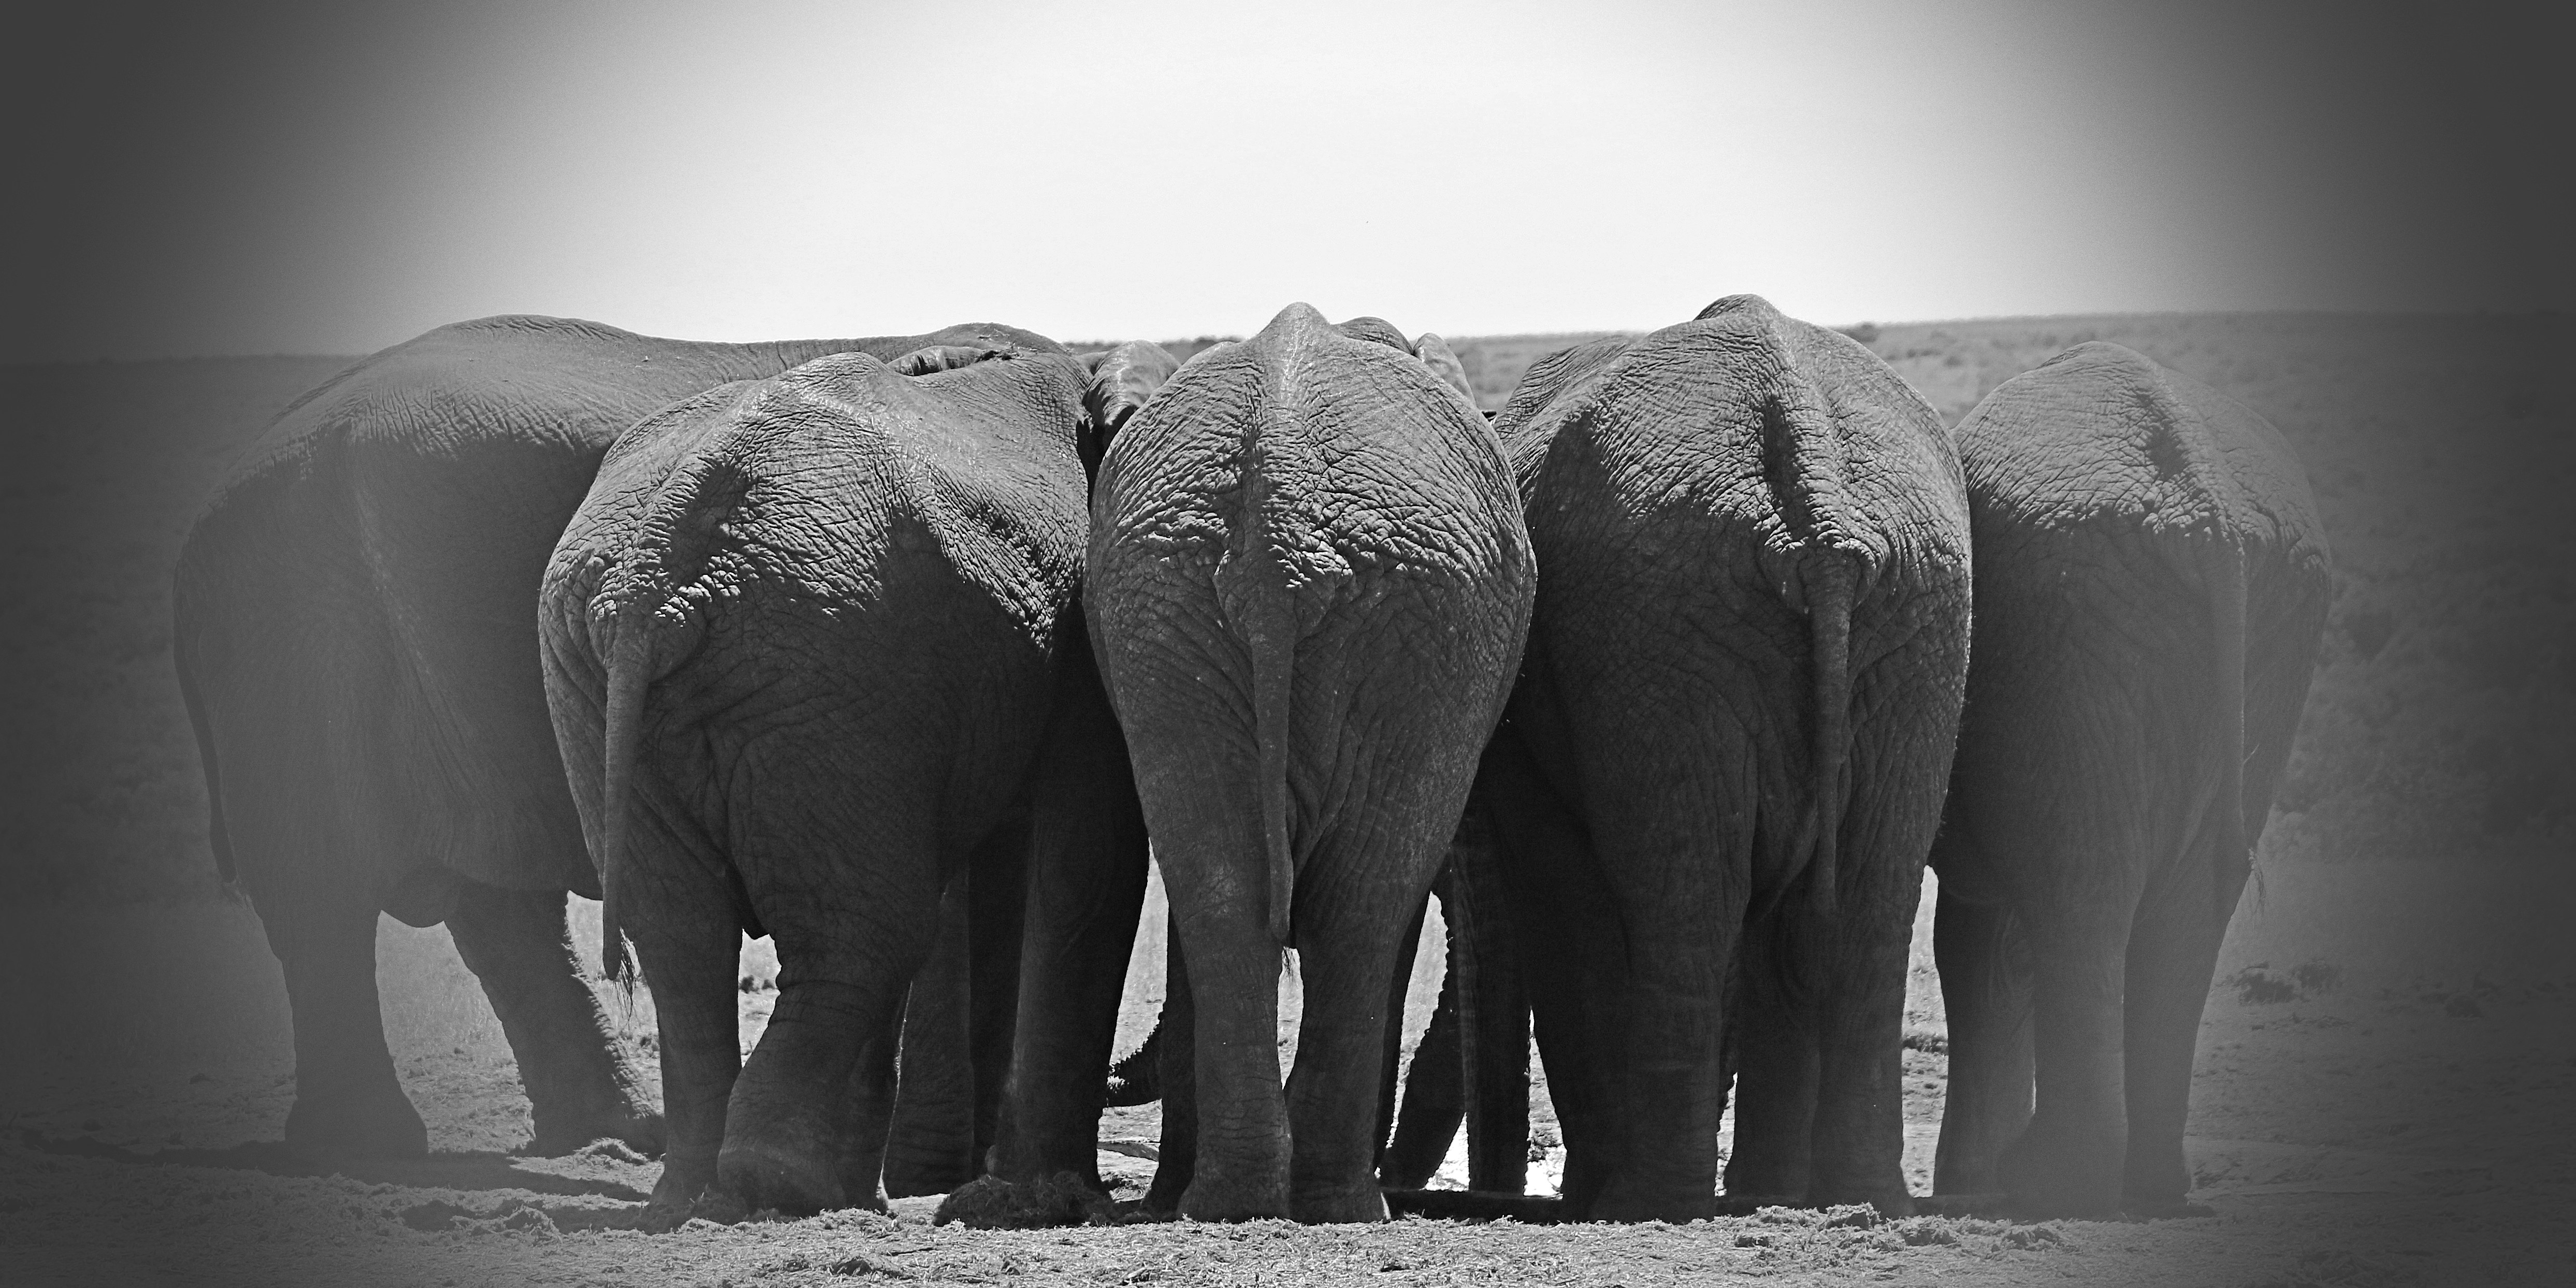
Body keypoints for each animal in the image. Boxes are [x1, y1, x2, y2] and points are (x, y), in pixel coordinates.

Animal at [538, 337, 1154, 1228]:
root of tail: (656, 573)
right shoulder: (1068, 632)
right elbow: (1093, 844)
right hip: (828, 657)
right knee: (866, 933)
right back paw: (787, 1186)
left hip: (613, 674)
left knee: (685, 940)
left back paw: (705, 1192)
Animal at [1058, 304, 1535, 1222]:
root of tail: (1278, 515)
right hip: (1418, 616)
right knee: (1362, 903)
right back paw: (1338, 1201)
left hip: (1164, 604)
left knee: (1226, 887)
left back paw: (1229, 1200)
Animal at [1466, 295, 1972, 1221]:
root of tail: (1820, 502)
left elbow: (1559, 889)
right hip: (1884, 614)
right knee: (1856, 899)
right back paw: (1836, 1194)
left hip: (1689, 621)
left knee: (1696, 896)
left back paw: (1652, 1199)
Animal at [1926, 342, 2330, 1217]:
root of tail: (2208, 507)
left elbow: (1975, 943)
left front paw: (1970, 1183)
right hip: (2239, 626)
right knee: (2182, 899)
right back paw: (2139, 1187)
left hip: (2077, 627)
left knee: (2084, 886)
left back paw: (2052, 1184)